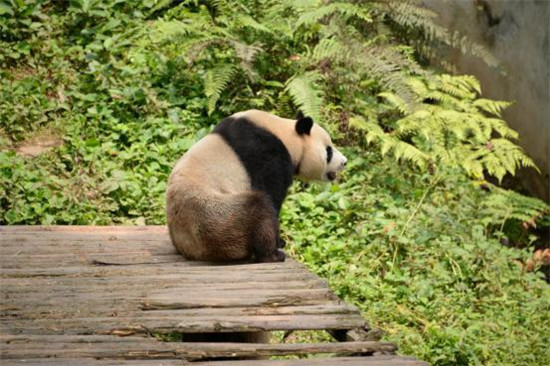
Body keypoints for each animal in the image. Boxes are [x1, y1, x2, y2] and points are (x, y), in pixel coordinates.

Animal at [166, 109, 350, 264]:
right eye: (329, 150)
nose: (344, 162)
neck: (286, 135)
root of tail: (193, 250)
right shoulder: (267, 155)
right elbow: (271, 195)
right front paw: (279, 241)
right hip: (218, 215)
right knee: (259, 209)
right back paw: (272, 255)